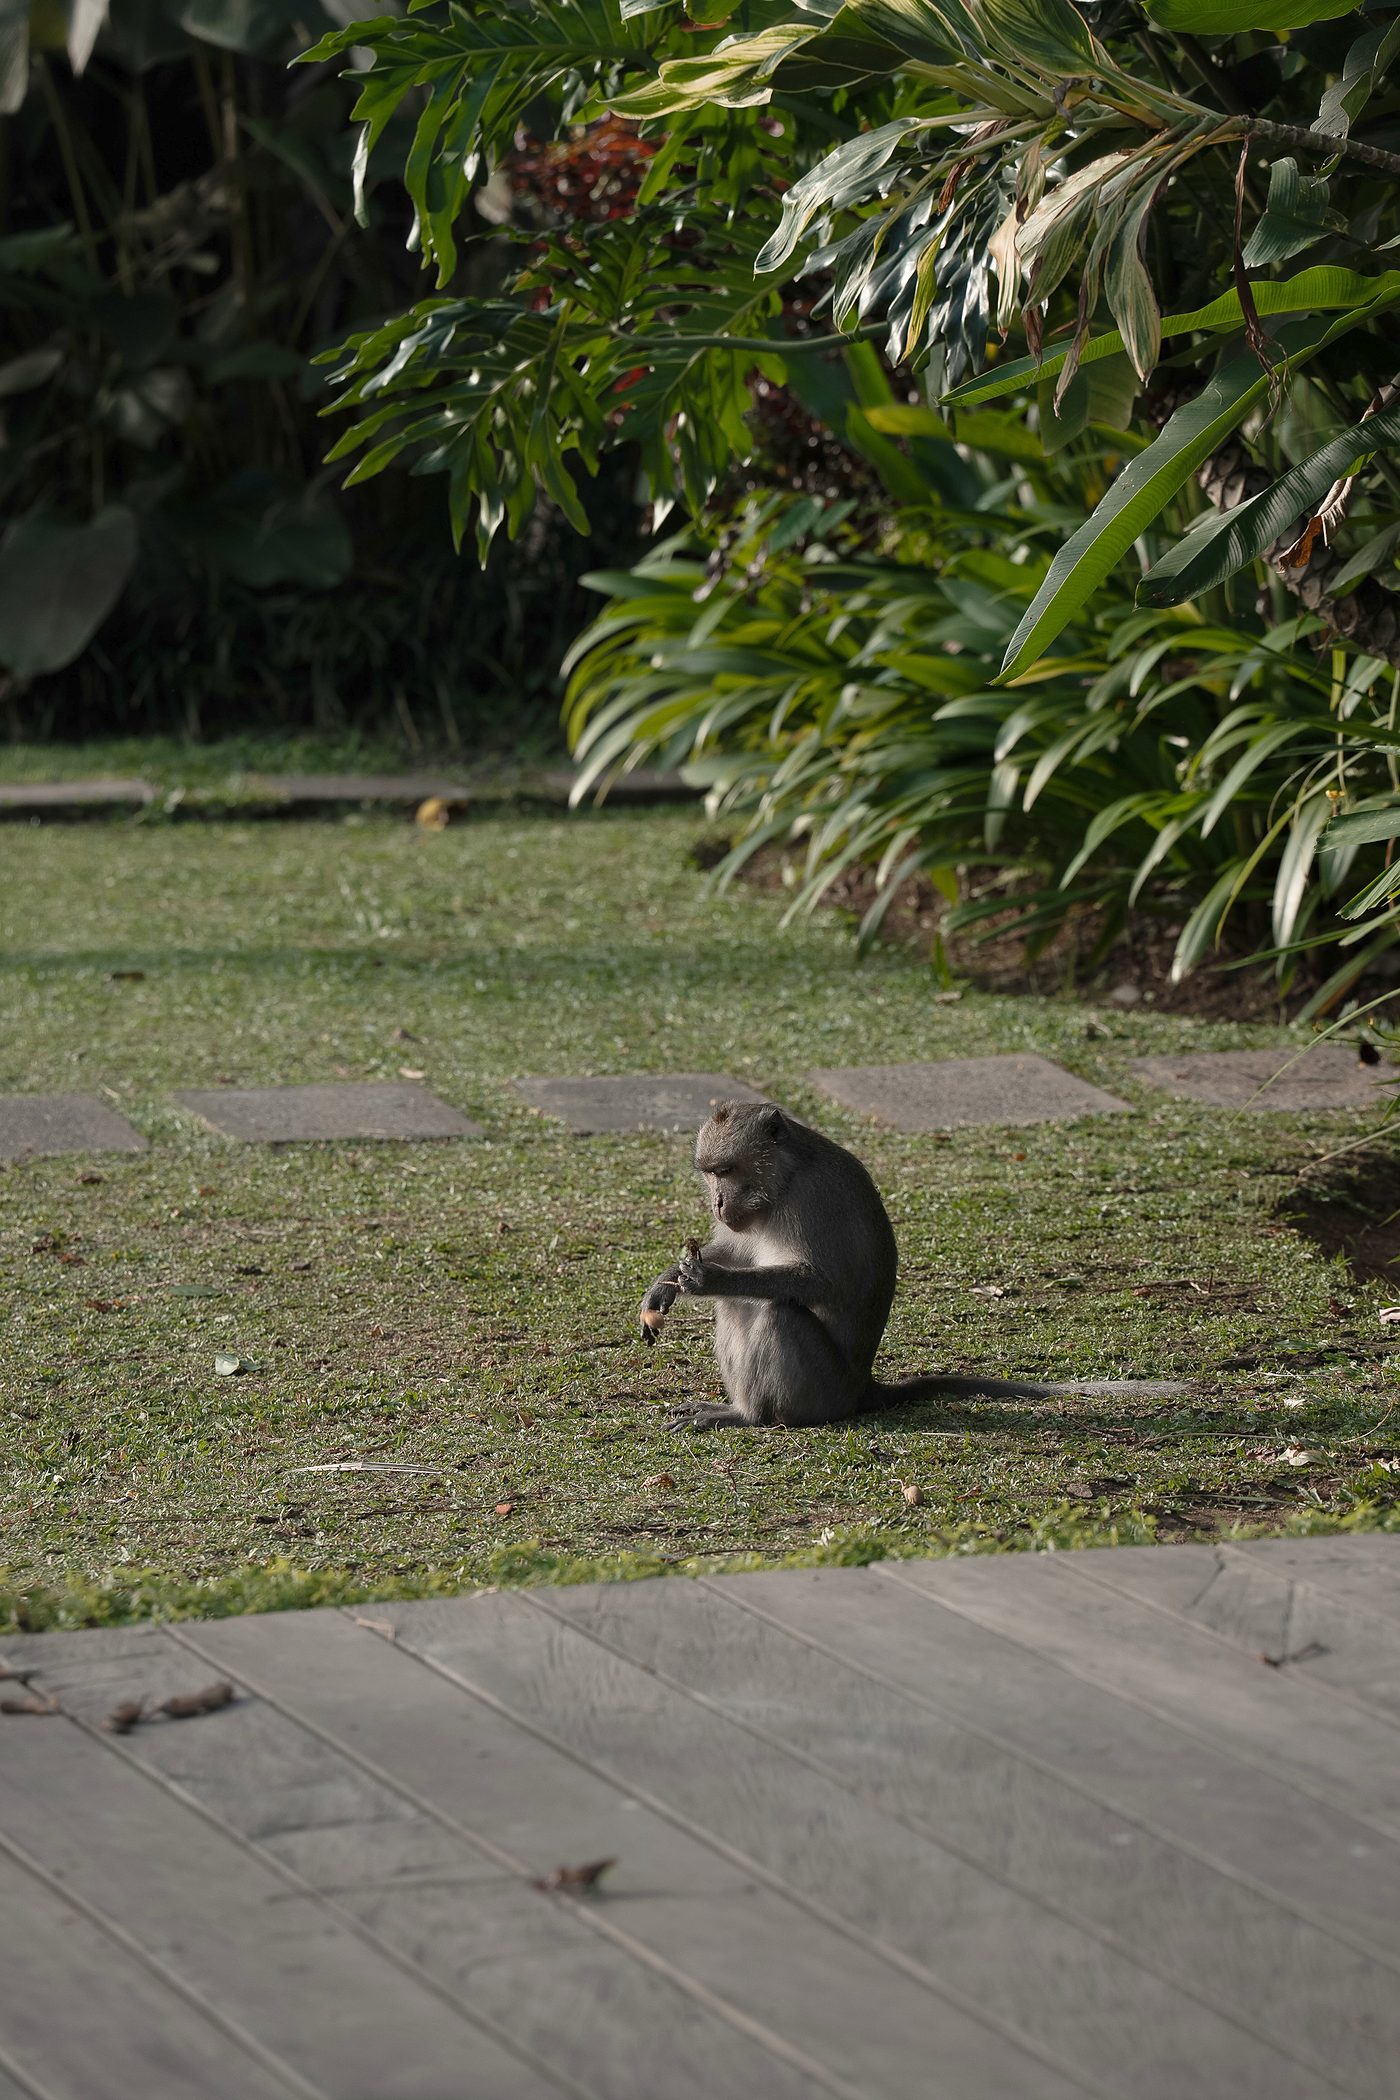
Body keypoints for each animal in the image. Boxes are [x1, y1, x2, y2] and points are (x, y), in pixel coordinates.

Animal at [639, 1101, 1183, 1431]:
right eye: (710, 1174)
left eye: (727, 1170)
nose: (717, 1202)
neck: (786, 1177)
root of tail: (862, 1388)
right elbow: (738, 1253)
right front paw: (666, 1283)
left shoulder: (815, 1200)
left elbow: (819, 1281)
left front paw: (708, 1277)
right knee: (741, 1307)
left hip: (824, 1391)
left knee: (776, 1311)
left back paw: (751, 1417)